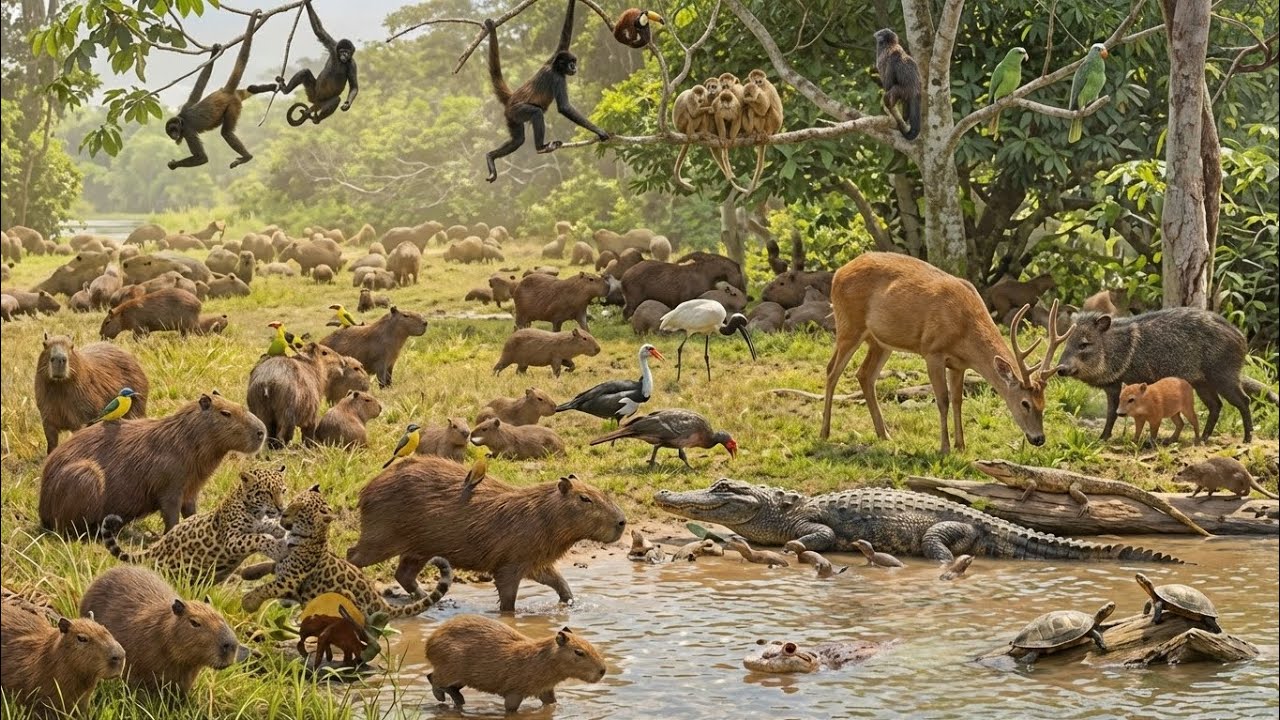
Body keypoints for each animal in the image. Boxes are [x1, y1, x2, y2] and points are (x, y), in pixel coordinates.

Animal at [100, 466, 291, 584]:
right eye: (267, 493)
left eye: (283, 490)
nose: (281, 508)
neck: (255, 512)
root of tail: (155, 548)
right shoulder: (231, 539)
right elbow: (257, 538)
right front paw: (276, 548)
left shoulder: (263, 523)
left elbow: (270, 527)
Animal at [166, 11, 265, 170]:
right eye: (170, 131)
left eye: (175, 129)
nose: (174, 135)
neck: (182, 118)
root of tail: (226, 92)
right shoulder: (187, 105)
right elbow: (200, 84)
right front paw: (213, 53)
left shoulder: (187, 131)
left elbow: (202, 158)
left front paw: (174, 165)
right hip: (237, 95)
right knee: (248, 90)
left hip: (233, 106)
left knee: (226, 133)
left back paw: (247, 157)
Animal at [240, 485, 452, 619]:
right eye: (293, 501)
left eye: (300, 510)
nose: (283, 513)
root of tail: (382, 605)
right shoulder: (283, 564)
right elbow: (268, 564)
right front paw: (248, 573)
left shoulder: (290, 580)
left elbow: (267, 587)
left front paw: (249, 602)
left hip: (344, 598)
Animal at [483, 0, 609, 183]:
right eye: (571, 63)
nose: (575, 68)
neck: (554, 67)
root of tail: (511, 98)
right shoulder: (557, 78)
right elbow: (564, 107)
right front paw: (600, 131)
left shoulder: (552, 58)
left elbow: (564, 39)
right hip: (516, 110)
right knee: (536, 113)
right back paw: (540, 147)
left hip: (511, 116)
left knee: (518, 140)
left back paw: (490, 156)